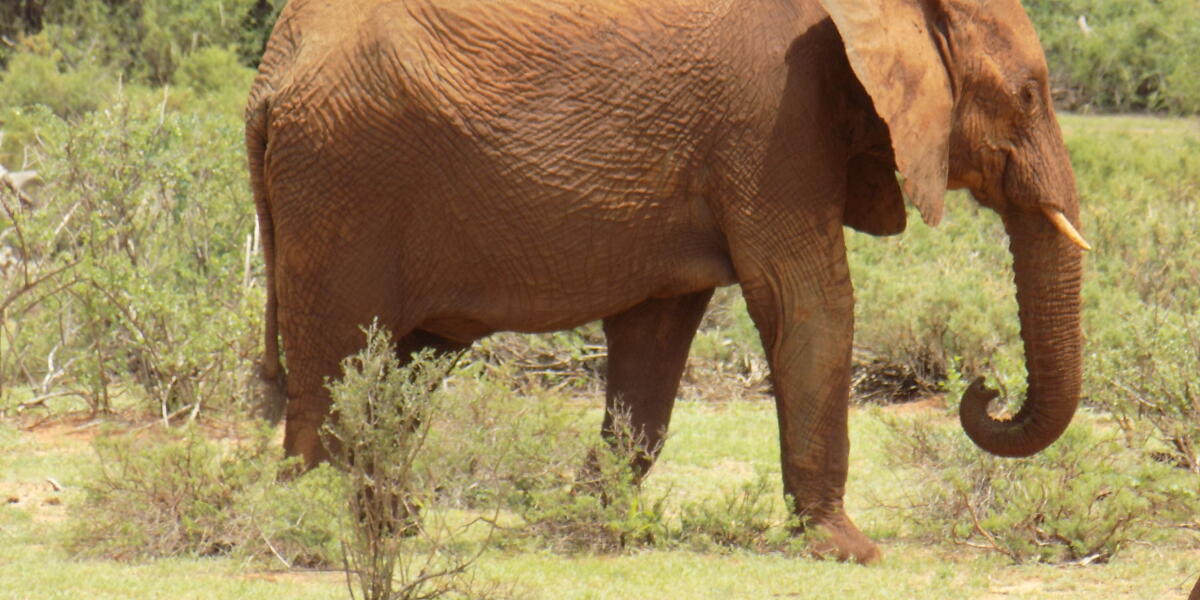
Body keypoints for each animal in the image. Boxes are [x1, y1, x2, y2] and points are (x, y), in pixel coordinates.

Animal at [246, 0, 1088, 563]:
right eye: (1028, 96)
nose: (985, 387)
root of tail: (269, 74)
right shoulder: (774, 119)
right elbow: (809, 299)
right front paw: (850, 551)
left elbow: (658, 333)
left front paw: (589, 523)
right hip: (345, 178)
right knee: (342, 367)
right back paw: (320, 523)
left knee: (404, 366)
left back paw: (397, 522)